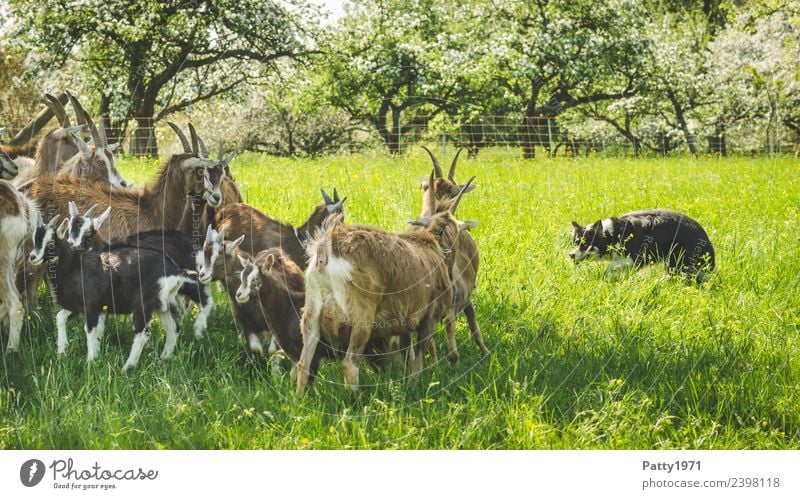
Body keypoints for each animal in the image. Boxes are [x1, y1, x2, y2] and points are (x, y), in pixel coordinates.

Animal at [568, 210, 720, 282]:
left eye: (585, 244)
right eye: (575, 243)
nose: (571, 255)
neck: (611, 235)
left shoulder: (637, 258)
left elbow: (610, 266)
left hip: (676, 259)